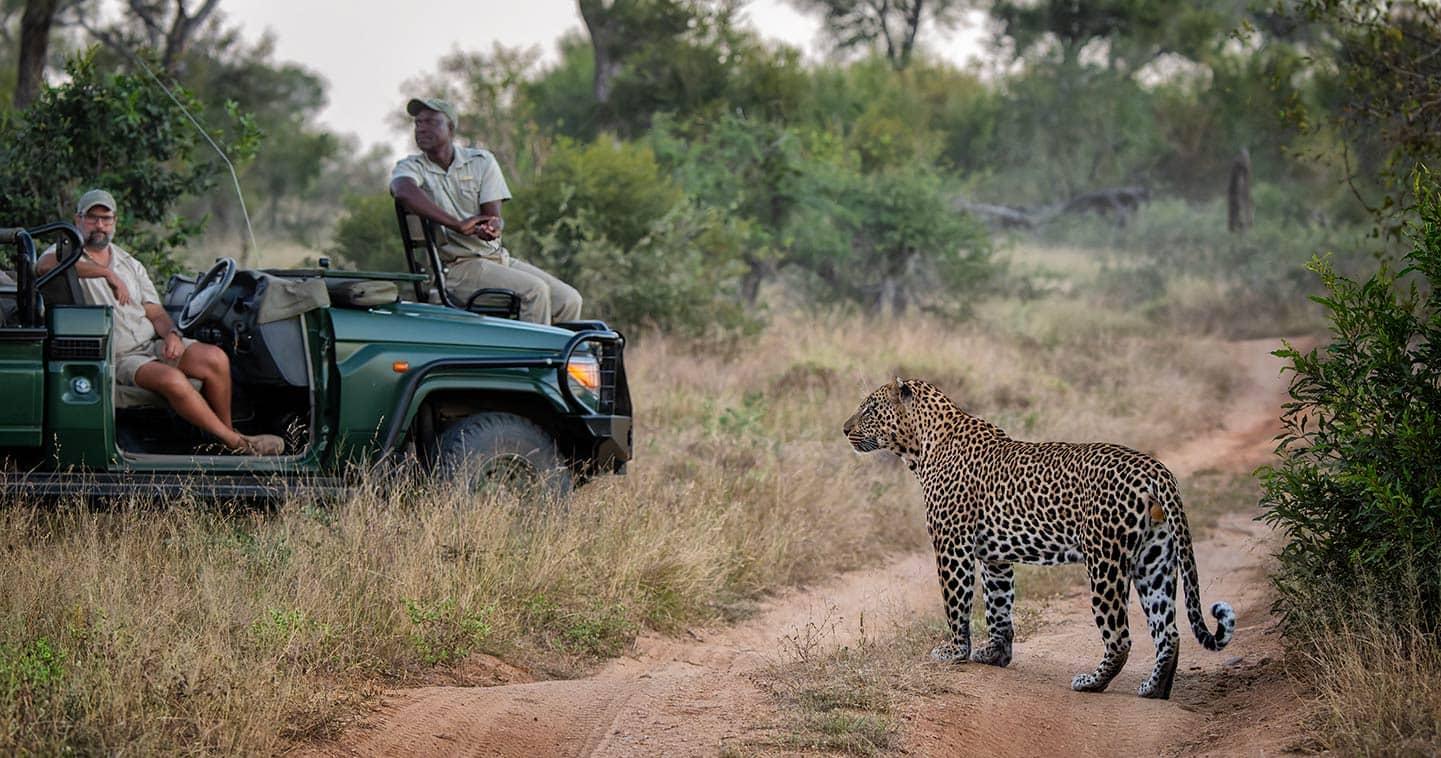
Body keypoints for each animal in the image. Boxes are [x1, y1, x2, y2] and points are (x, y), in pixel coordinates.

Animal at [843, 378, 1235, 699]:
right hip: (1154, 558)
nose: (844, 429)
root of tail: (1155, 469)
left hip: (1105, 560)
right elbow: (999, 604)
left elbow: (956, 602)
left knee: (1120, 636)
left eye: (869, 408)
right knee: (1167, 632)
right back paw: (1154, 689)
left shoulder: (951, 544)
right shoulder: (995, 556)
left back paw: (1092, 683)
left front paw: (954, 651)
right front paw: (995, 654)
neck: (921, 445)